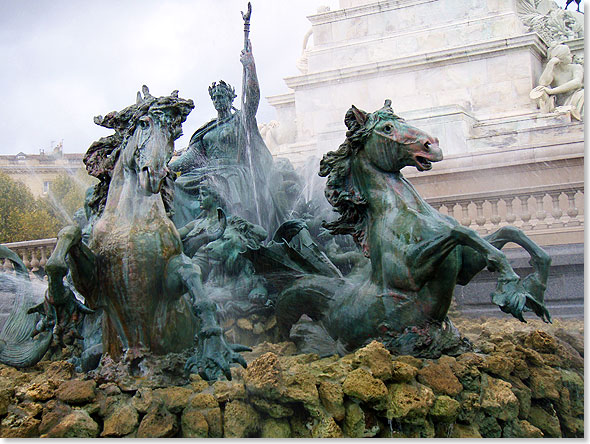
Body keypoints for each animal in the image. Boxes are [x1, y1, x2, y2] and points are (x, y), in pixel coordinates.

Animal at [278, 100, 556, 358]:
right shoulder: (407, 271)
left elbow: (508, 231)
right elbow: (463, 232)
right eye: (387, 128)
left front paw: (536, 291)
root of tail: (335, 297)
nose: (433, 145)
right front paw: (511, 291)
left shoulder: (465, 269)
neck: (405, 210)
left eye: (402, 119)